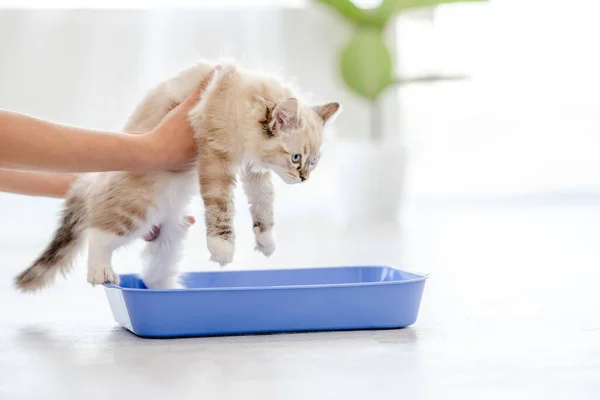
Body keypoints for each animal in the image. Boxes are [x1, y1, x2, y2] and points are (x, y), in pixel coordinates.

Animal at [14, 60, 340, 290]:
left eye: (314, 162)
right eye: (296, 158)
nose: (304, 179)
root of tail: (94, 182)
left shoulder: (253, 170)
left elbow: (263, 205)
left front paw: (266, 242)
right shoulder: (215, 158)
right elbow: (221, 207)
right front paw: (222, 248)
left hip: (168, 234)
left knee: (155, 276)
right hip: (136, 209)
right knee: (98, 233)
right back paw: (101, 273)